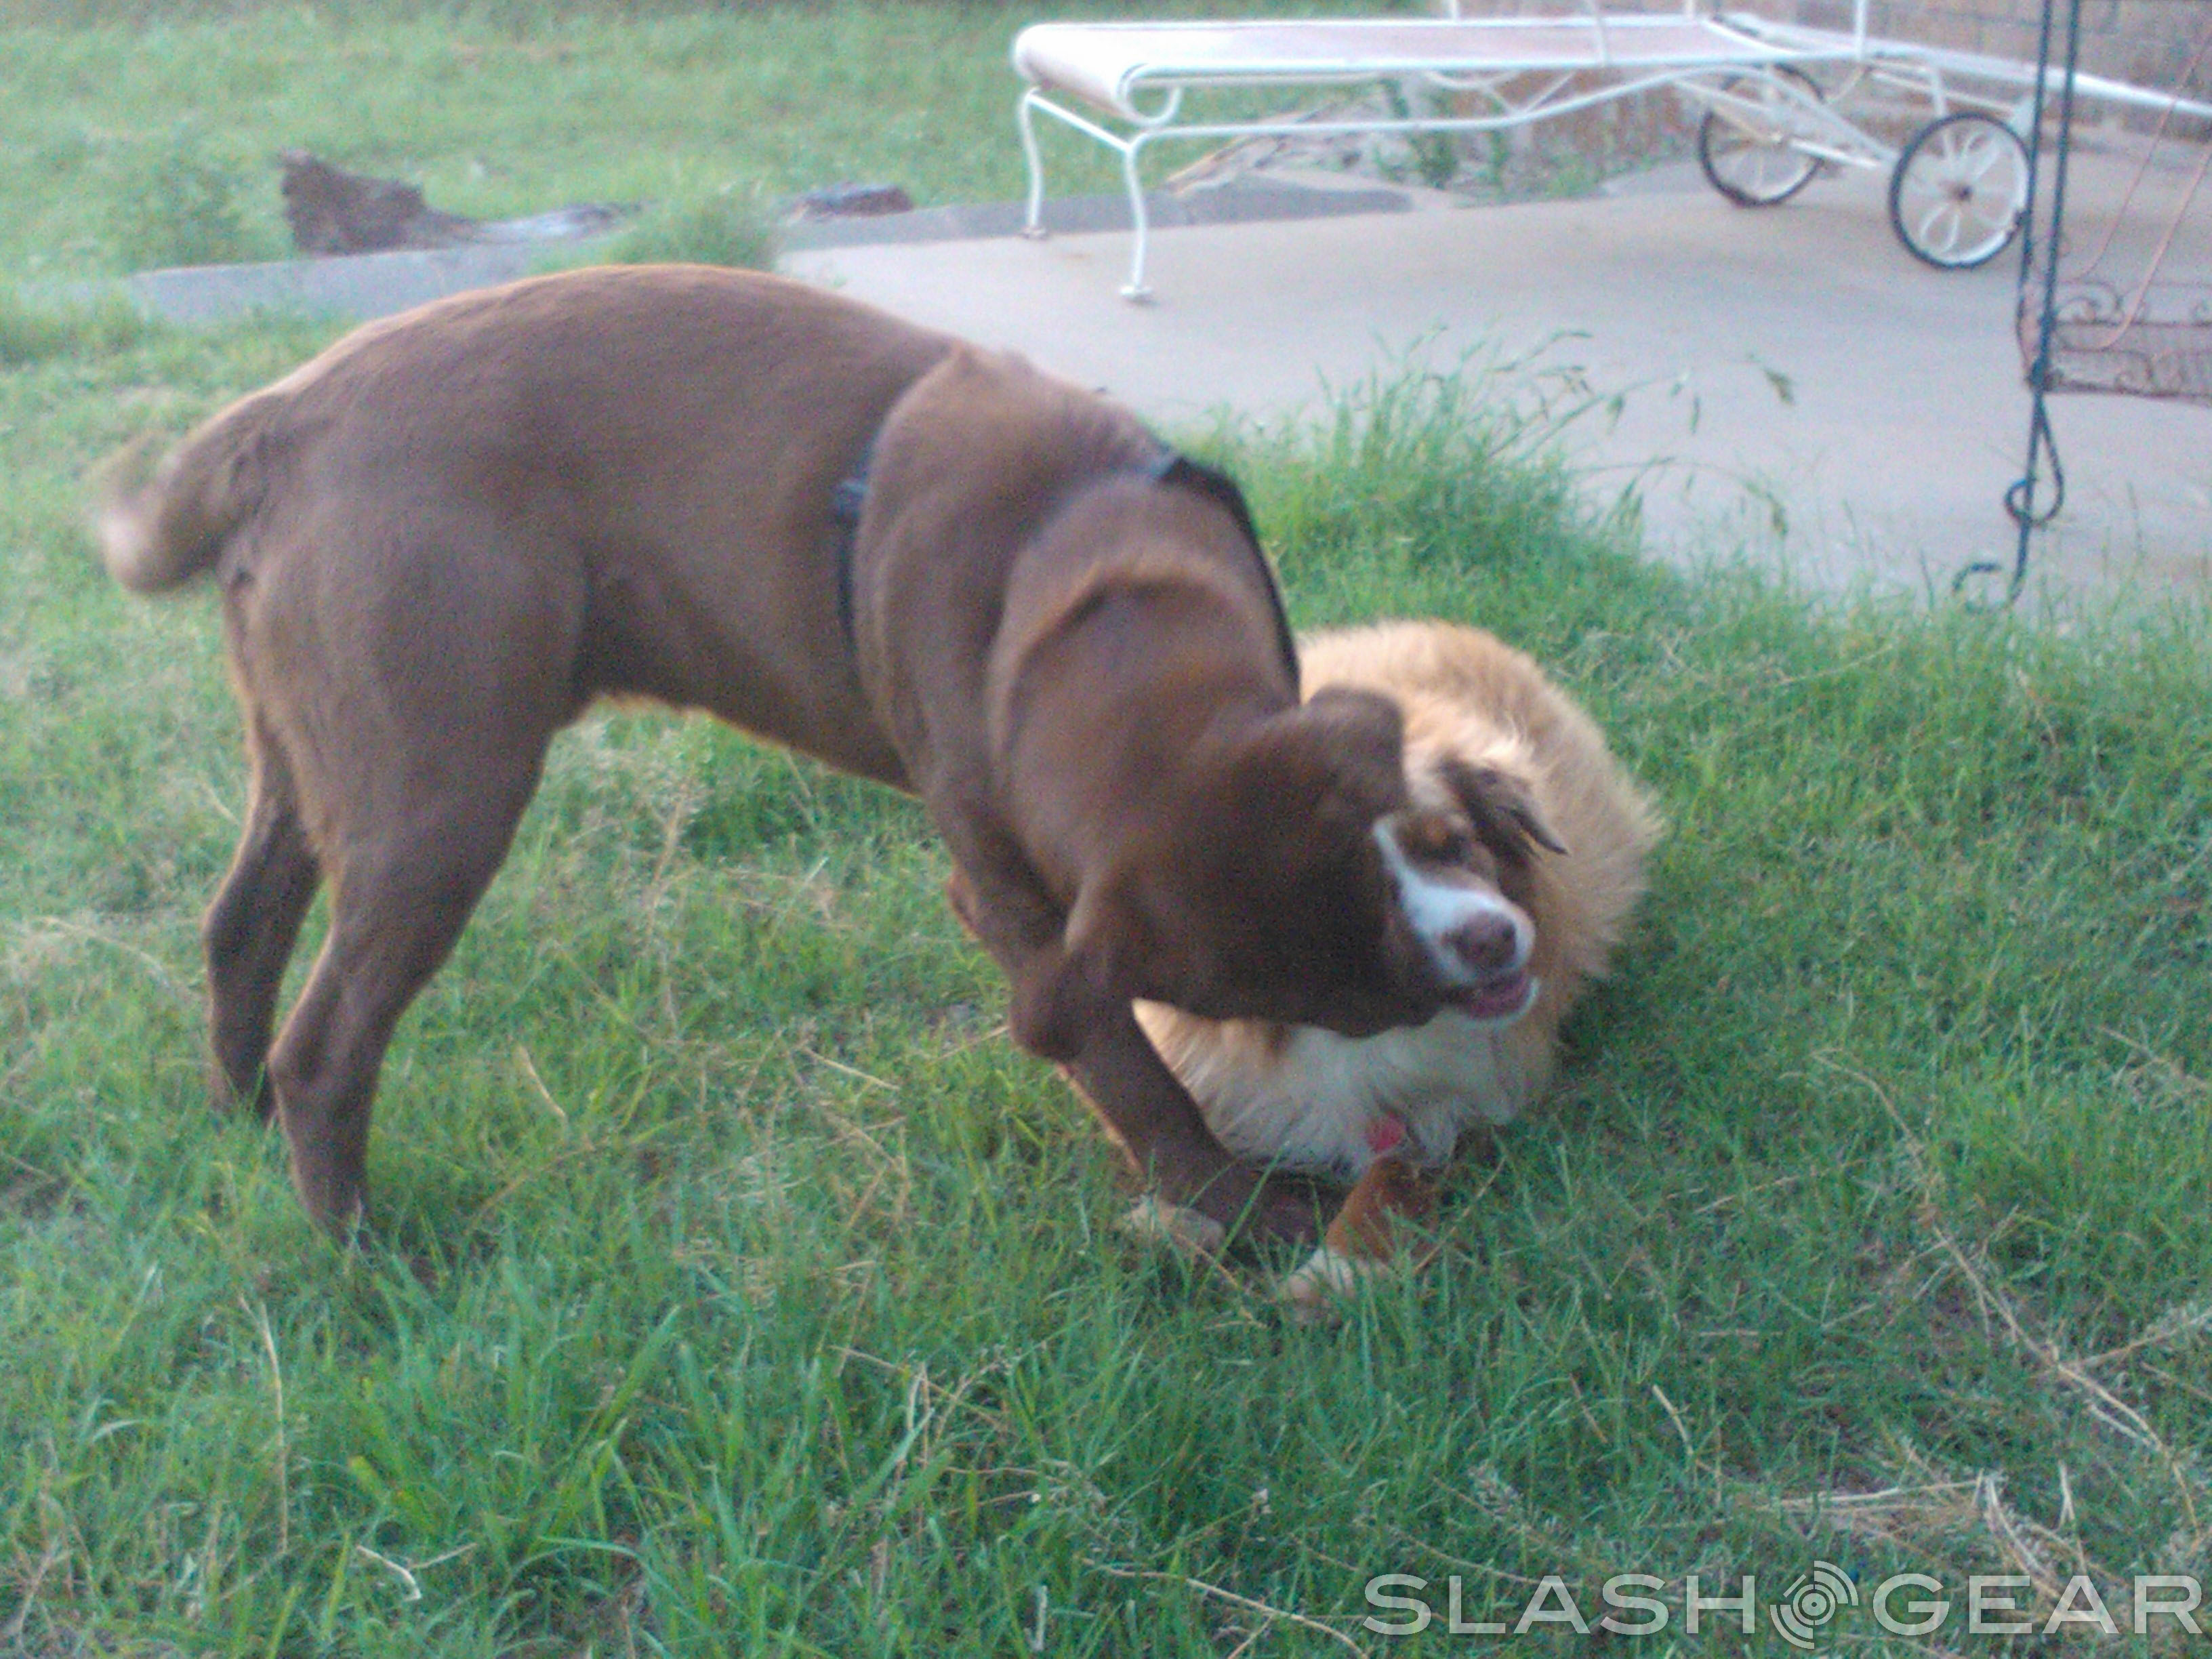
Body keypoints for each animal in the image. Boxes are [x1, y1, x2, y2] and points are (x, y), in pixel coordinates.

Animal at [96, 264, 1521, 1242]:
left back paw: (236, 1122)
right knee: (328, 1043)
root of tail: (277, 420)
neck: (1075, 585)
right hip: (440, 789)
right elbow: (1124, 1062)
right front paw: (1232, 1208)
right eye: (1308, 1001)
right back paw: (362, 1252)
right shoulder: (1008, 898)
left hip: (319, 751)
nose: (1477, 969)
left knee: (240, 925)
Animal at [1133, 620, 1661, 1301]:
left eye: (1457, 844)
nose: (1494, 938)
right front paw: (1175, 1215)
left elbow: (1390, 1181)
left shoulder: (1470, 1102)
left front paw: (1341, 1268)